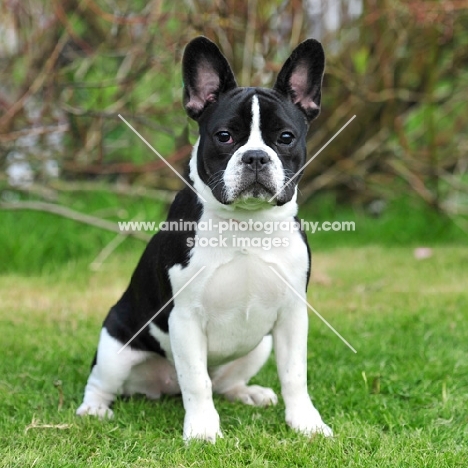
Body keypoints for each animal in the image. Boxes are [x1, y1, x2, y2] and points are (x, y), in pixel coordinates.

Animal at [77, 36, 332, 442]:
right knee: (103, 381)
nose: (256, 156)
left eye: (285, 138)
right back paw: (93, 410)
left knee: (225, 383)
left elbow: (295, 375)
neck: (246, 223)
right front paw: (201, 431)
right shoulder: (185, 319)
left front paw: (305, 422)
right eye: (224, 137)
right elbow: (196, 380)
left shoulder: (292, 315)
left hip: (260, 345)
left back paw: (248, 393)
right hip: (116, 348)